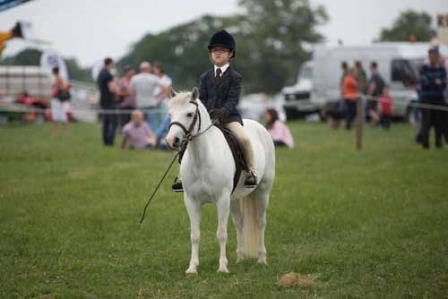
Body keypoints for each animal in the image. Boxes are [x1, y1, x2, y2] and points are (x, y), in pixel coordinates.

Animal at [166, 88, 274, 274]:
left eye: (189, 114)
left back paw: (261, 259)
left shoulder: (222, 199)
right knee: (239, 223)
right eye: (170, 113)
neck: (202, 158)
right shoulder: (191, 200)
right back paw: (240, 258)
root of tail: (260, 126)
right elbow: (195, 235)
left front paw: (222, 267)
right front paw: (192, 268)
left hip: (262, 191)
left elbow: (221, 234)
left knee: (260, 222)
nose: (171, 140)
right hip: (234, 198)